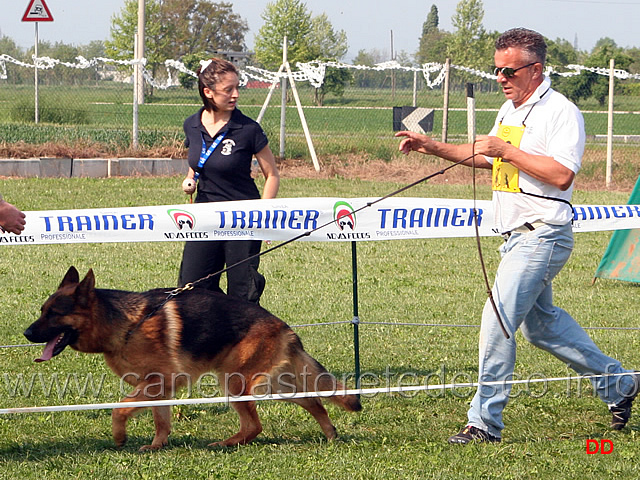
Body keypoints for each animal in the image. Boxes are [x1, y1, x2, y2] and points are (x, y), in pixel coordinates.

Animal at [23, 266, 360, 450]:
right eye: (42, 310)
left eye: (54, 314)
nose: (26, 333)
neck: (125, 324)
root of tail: (285, 328)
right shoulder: (160, 388)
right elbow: (161, 420)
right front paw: (157, 446)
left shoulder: (158, 382)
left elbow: (120, 409)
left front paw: (120, 437)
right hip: (273, 384)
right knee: (313, 401)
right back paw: (330, 433)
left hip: (235, 382)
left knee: (255, 426)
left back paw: (227, 444)